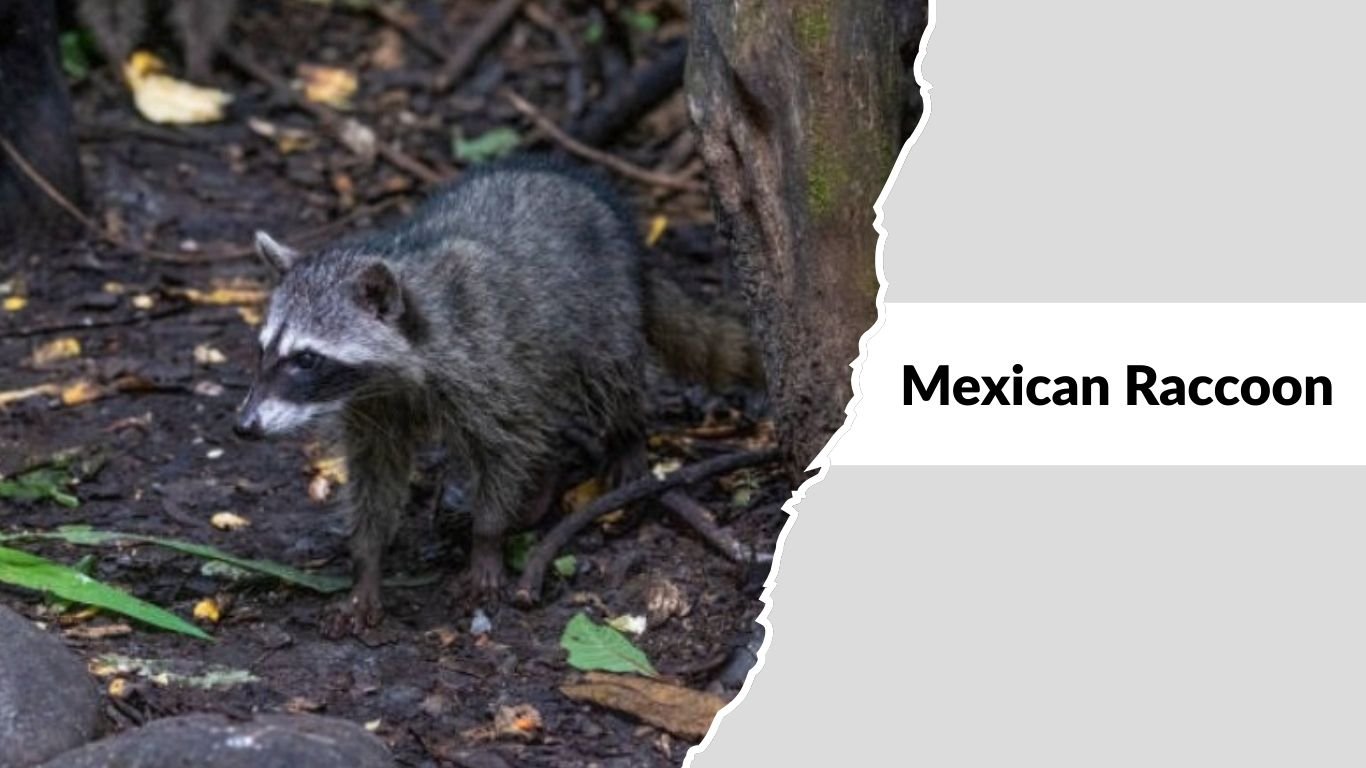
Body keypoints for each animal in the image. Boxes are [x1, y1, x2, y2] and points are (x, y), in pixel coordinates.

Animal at [235, 157, 762, 636]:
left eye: (306, 359)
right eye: (263, 350)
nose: (244, 426)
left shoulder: (483, 364)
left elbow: (505, 445)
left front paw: (486, 541)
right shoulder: (372, 407)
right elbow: (374, 478)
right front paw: (366, 567)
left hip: (600, 312)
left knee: (608, 380)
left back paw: (623, 438)